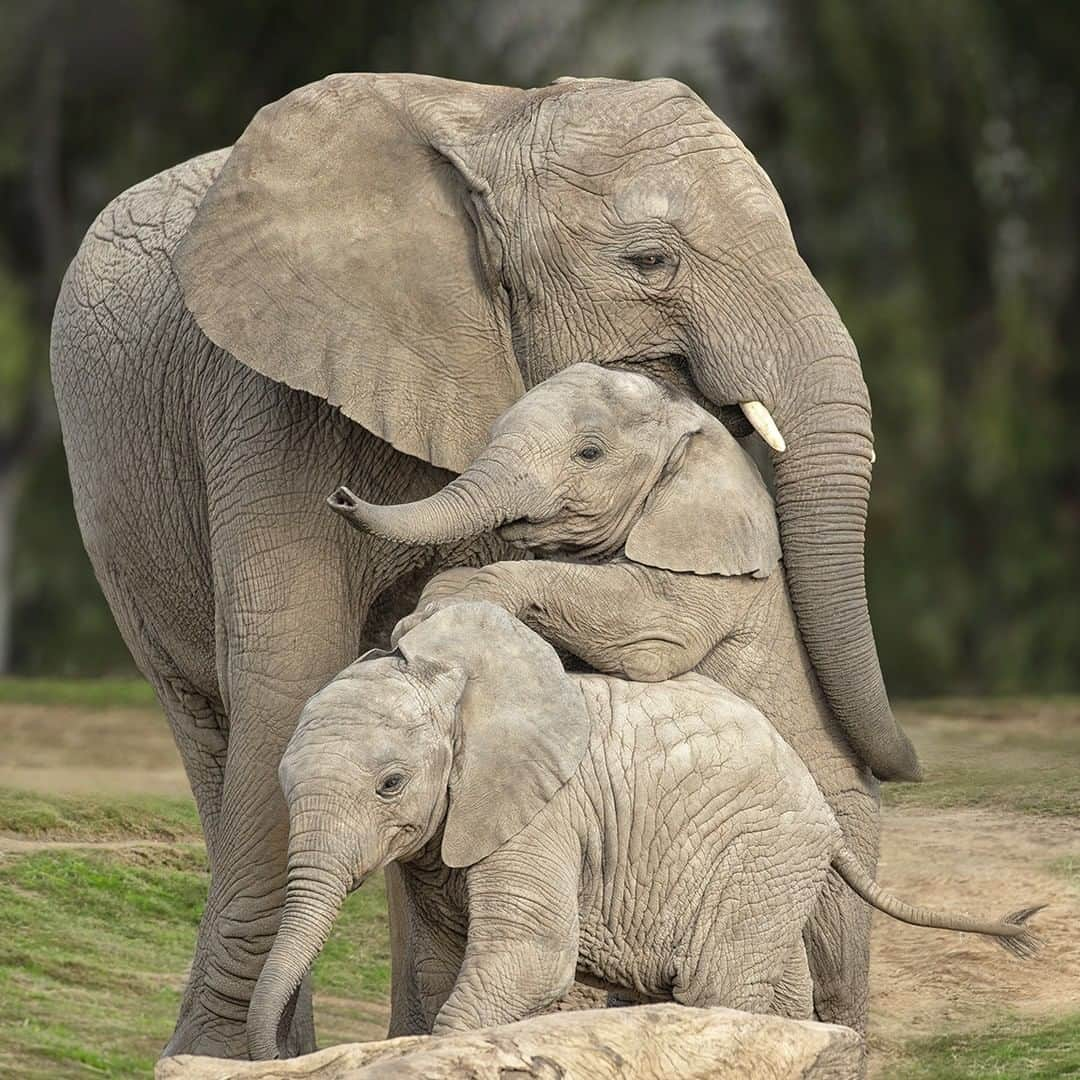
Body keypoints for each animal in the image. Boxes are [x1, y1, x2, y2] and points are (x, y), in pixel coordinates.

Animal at [46, 73, 915, 1054]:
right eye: (651, 261)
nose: (342, 496)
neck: (494, 124)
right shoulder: (264, 403)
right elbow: (287, 679)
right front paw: (226, 1061)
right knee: (211, 724)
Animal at [248, 604, 1041, 1058]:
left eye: (390, 784)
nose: (278, 1051)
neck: (461, 684)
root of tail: (819, 805)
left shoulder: (543, 817)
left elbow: (531, 956)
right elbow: (442, 966)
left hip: (759, 855)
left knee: (718, 984)